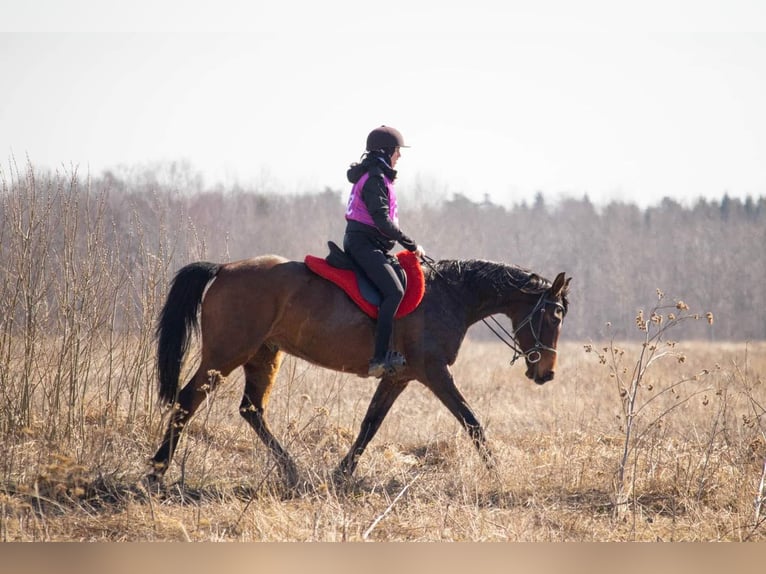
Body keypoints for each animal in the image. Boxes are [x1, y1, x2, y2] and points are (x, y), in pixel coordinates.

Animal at [148, 256, 568, 490]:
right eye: (554, 315)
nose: (547, 373)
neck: (451, 294)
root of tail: (223, 269)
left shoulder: (399, 377)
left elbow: (370, 424)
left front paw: (341, 474)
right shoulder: (434, 372)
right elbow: (471, 421)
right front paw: (497, 472)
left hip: (263, 356)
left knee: (251, 409)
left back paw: (293, 471)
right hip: (225, 355)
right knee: (188, 400)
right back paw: (157, 470)